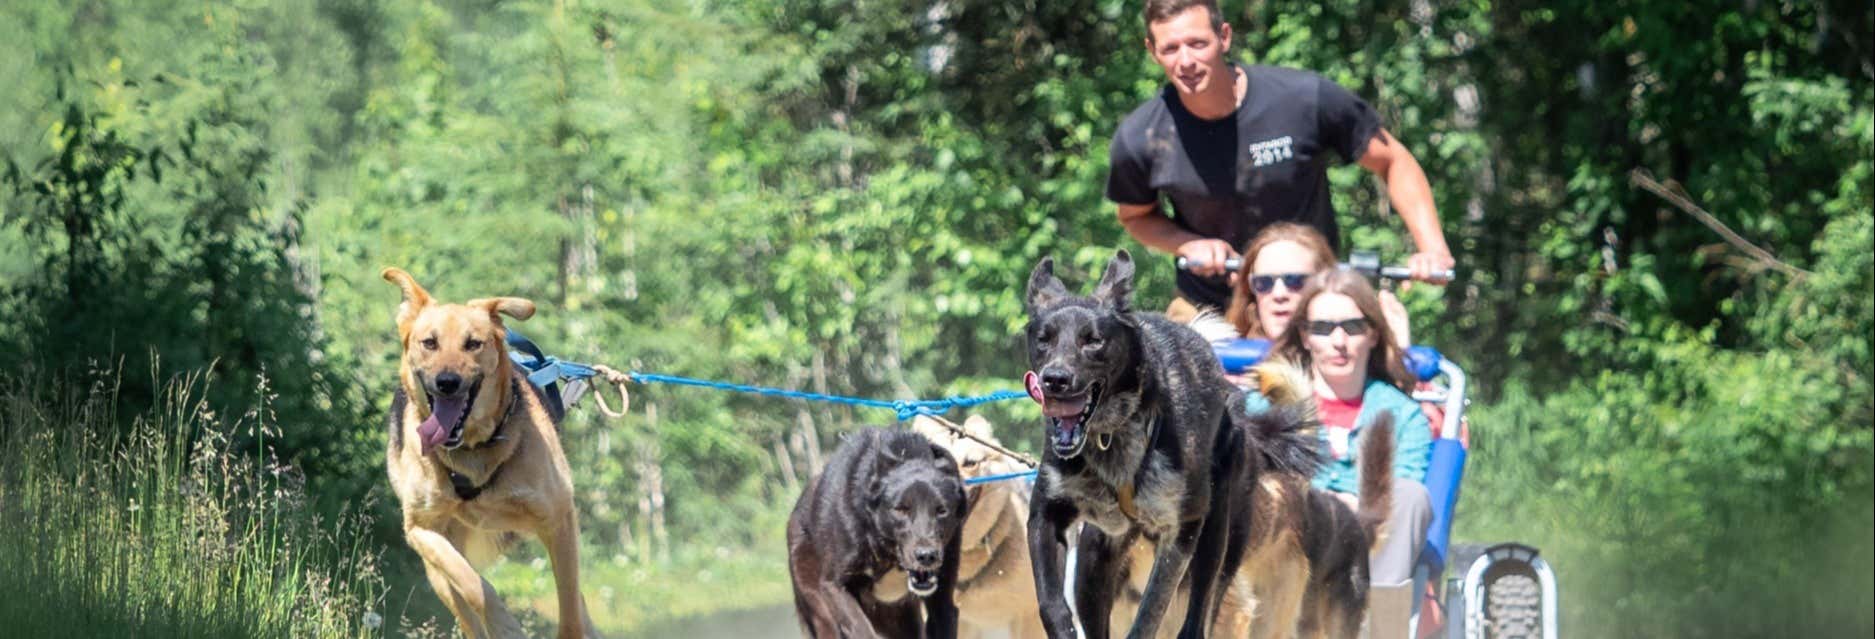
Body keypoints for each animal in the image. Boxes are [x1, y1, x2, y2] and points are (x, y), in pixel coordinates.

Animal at [787, 423, 967, 637]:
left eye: (942, 510)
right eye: (900, 509)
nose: (927, 556)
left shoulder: (942, 601)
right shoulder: (833, 586)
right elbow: (861, 629)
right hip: (820, 607)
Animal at [1027, 249, 1245, 637]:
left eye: (1093, 340)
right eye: (1044, 338)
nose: (1055, 379)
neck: (1108, 435)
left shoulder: (1181, 531)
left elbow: (1151, 612)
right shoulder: (1045, 514)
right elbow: (1050, 603)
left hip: (1213, 532)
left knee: (1197, 610)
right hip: (1094, 558)